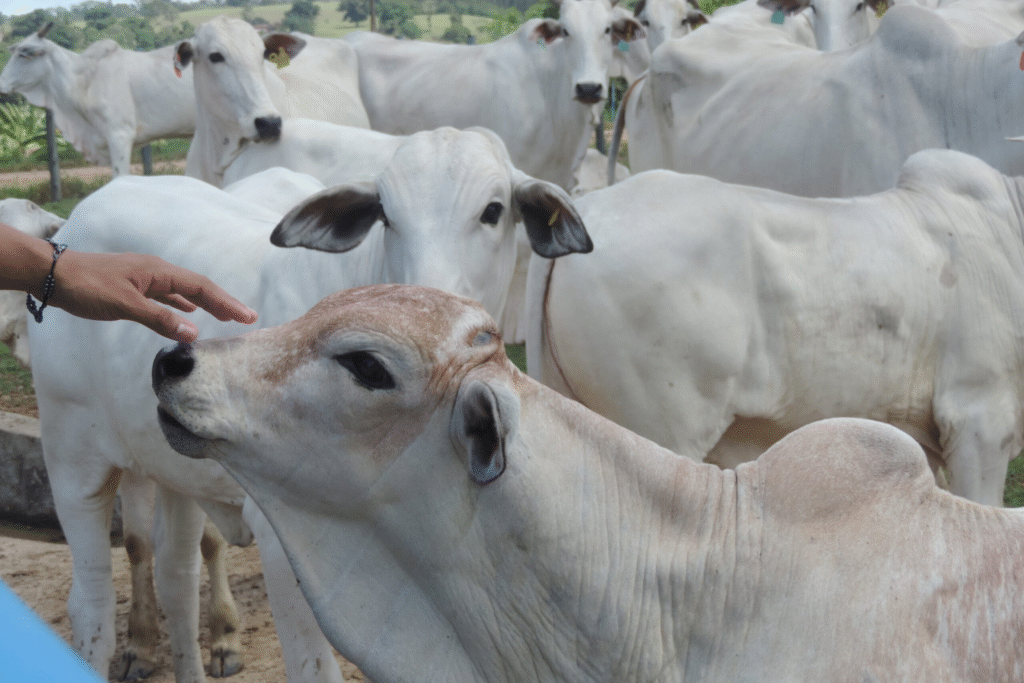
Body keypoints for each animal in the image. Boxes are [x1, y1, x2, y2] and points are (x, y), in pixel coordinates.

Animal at [28, 129, 590, 683]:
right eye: (385, 213)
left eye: (493, 210)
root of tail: (82, 217)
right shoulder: (285, 544)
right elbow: (312, 666)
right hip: (73, 462)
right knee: (92, 605)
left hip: (172, 470)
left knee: (176, 579)